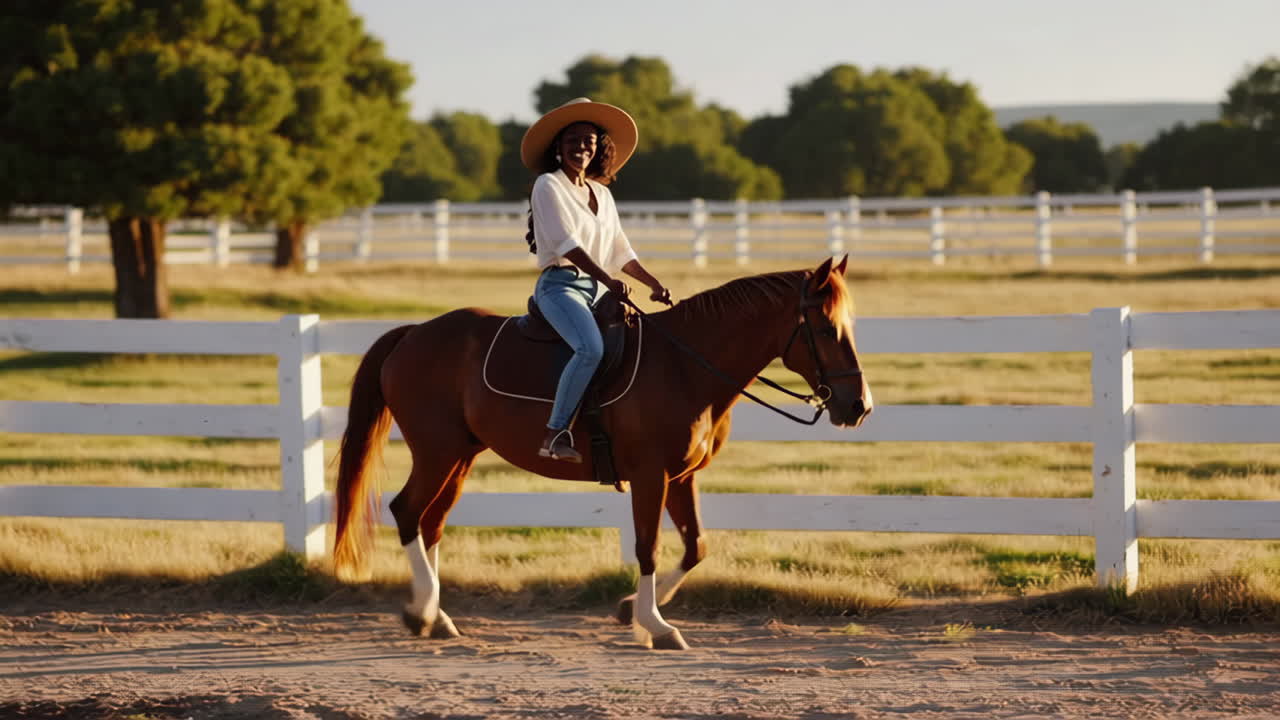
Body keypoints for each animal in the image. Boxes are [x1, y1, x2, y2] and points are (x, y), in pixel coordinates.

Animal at [332, 256, 874, 650]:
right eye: (826, 328)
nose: (858, 406)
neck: (685, 366)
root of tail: (413, 333)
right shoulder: (651, 477)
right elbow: (648, 547)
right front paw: (655, 625)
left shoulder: (682, 477)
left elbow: (695, 547)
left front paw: (629, 608)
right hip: (436, 452)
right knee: (407, 511)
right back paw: (422, 612)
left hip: (460, 457)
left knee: (431, 523)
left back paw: (436, 616)